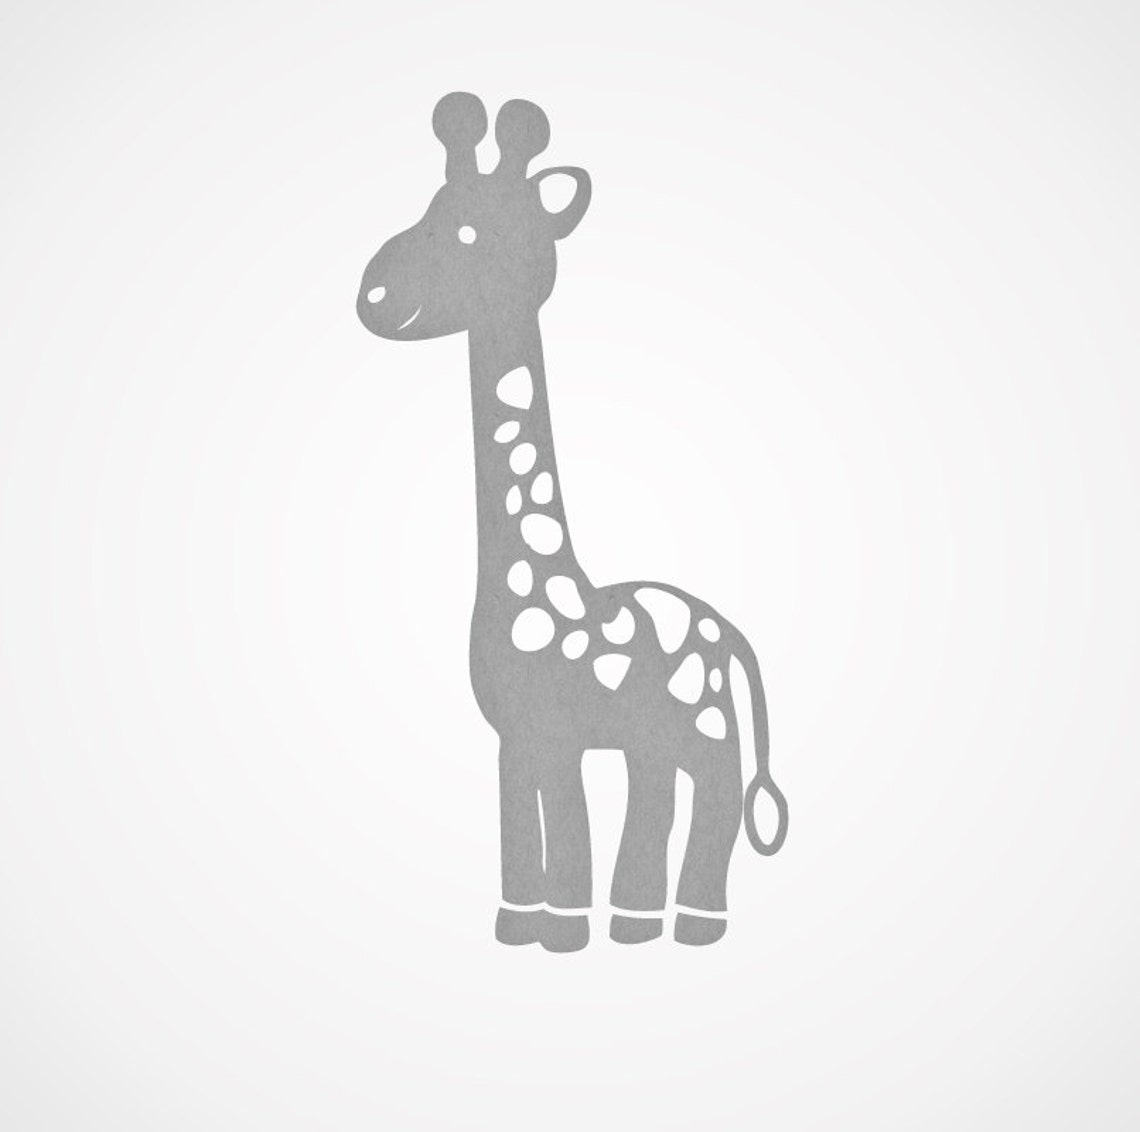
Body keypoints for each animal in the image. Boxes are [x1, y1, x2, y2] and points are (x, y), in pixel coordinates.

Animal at [356, 93, 788, 951]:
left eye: (468, 231)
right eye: (429, 209)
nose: (375, 296)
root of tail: (727, 634)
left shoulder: (554, 731)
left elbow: (565, 821)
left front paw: (560, 934)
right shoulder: (514, 738)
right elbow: (520, 826)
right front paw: (519, 926)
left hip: (709, 727)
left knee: (716, 796)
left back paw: (694, 926)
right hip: (658, 734)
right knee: (660, 793)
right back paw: (638, 923)